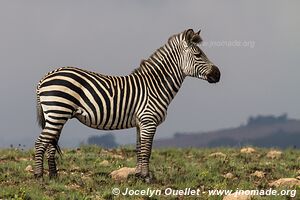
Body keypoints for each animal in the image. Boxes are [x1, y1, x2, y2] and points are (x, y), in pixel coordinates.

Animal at [34, 28, 220, 182]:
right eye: (198, 55)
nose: (218, 74)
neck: (156, 86)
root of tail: (45, 77)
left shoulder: (140, 123)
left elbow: (140, 149)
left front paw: (138, 176)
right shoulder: (148, 121)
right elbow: (147, 150)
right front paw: (146, 178)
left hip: (56, 115)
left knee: (50, 144)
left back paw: (54, 176)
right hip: (58, 111)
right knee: (40, 142)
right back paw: (39, 176)